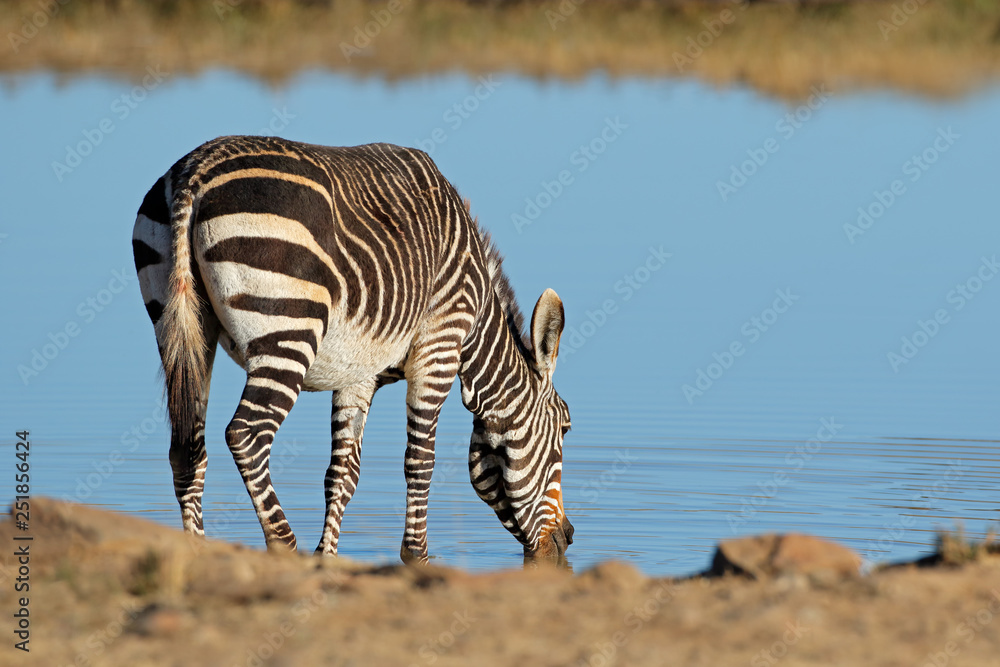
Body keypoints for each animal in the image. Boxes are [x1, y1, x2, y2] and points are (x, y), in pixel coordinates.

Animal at [129, 134, 576, 564]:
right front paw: (416, 556)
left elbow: (343, 473)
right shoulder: (439, 347)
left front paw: (328, 557)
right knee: (246, 434)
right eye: (566, 428)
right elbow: (420, 461)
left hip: (182, 330)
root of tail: (194, 173)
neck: (477, 317)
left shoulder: (358, 373)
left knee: (187, 450)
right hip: (288, 329)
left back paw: (198, 554)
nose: (570, 537)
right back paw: (283, 544)